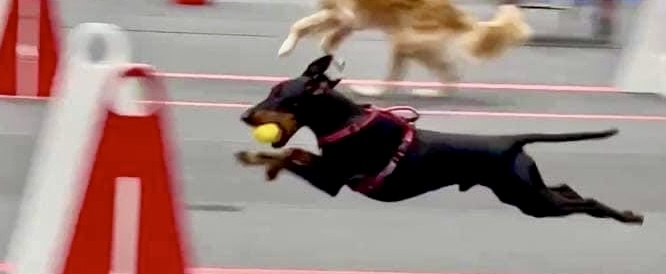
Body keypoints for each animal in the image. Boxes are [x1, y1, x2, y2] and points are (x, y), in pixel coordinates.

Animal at [235, 55, 644, 225]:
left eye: (280, 97)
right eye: (270, 92)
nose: (246, 116)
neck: (348, 122)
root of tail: (511, 141)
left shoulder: (332, 180)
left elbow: (292, 152)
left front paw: (265, 164)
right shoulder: (327, 171)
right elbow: (292, 153)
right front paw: (258, 161)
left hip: (528, 199)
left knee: (584, 201)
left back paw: (628, 216)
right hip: (524, 191)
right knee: (567, 189)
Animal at [274, 0, 528, 97]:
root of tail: (459, 17)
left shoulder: (344, 16)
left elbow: (308, 30)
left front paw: (285, 48)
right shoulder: (346, 21)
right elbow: (322, 39)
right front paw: (336, 61)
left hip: (406, 42)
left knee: (392, 81)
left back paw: (369, 91)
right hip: (420, 48)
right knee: (451, 74)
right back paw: (434, 92)